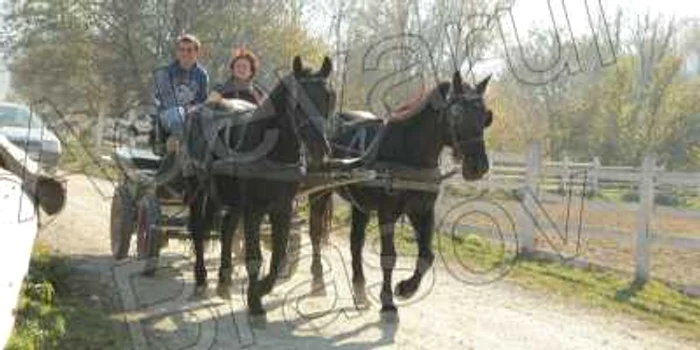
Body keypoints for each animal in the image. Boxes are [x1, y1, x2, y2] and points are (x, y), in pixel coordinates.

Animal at [183, 56, 336, 316]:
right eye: (297, 102)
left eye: (329, 98)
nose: (319, 149)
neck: (273, 152)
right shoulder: (254, 210)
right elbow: (255, 257)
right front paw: (255, 300)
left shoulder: (282, 209)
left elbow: (279, 255)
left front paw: (263, 288)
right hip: (199, 190)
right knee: (198, 230)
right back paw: (202, 278)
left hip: (231, 198)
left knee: (226, 228)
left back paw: (224, 280)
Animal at [308, 72, 494, 320]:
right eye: (456, 114)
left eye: (485, 117)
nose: (479, 167)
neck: (410, 152)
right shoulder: (387, 212)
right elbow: (389, 256)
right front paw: (388, 300)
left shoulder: (422, 211)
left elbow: (427, 256)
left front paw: (406, 288)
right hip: (318, 191)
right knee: (315, 231)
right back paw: (318, 279)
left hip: (361, 204)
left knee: (356, 242)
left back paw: (360, 289)